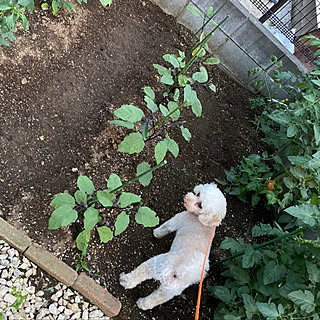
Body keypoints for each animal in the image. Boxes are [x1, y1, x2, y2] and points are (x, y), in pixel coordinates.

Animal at [119, 182, 226, 310]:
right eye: (198, 194)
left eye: (200, 205)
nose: (186, 198)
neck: (207, 223)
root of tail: (179, 274)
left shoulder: (176, 221)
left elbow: (164, 228)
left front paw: (155, 233)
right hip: (169, 291)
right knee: (155, 299)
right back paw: (142, 304)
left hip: (156, 265)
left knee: (139, 273)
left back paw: (125, 280)